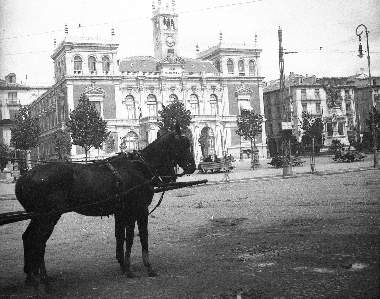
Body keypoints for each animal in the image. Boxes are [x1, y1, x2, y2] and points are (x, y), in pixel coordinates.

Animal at [14, 125, 196, 292]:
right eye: (185, 144)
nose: (192, 166)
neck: (139, 167)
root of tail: (25, 177)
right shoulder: (139, 210)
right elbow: (139, 237)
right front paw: (146, 267)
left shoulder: (122, 212)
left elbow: (121, 237)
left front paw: (124, 266)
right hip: (48, 217)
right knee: (38, 242)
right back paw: (43, 280)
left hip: (39, 217)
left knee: (29, 238)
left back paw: (32, 276)